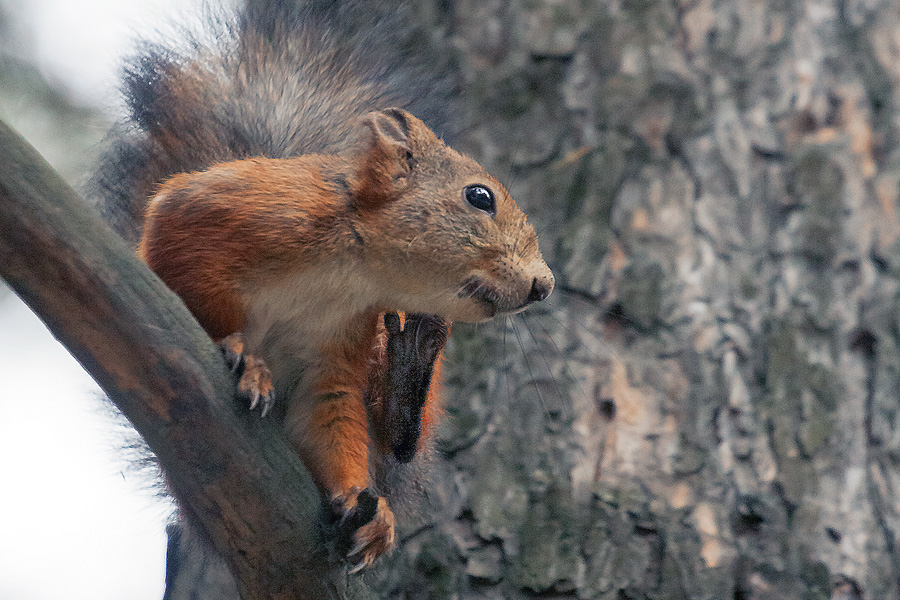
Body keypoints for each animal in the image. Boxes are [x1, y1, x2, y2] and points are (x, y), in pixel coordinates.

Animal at [93, 0, 556, 572]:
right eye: (479, 197)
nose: (544, 284)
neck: (353, 273)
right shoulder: (229, 209)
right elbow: (180, 267)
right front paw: (244, 355)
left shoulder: (343, 340)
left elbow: (329, 409)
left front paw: (363, 506)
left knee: (397, 445)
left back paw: (407, 375)